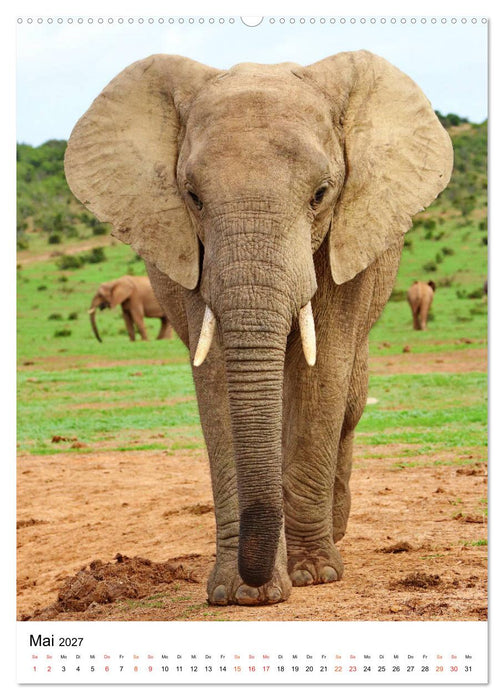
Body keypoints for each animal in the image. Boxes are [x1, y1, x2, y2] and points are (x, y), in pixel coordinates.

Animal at [65, 50, 453, 606]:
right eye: (192, 197)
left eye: (321, 194)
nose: (257, 576)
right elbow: (217, 380)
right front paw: (240, 593)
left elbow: (322, 374)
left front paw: (313, 575)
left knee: (350, 402)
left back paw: (334, 532)